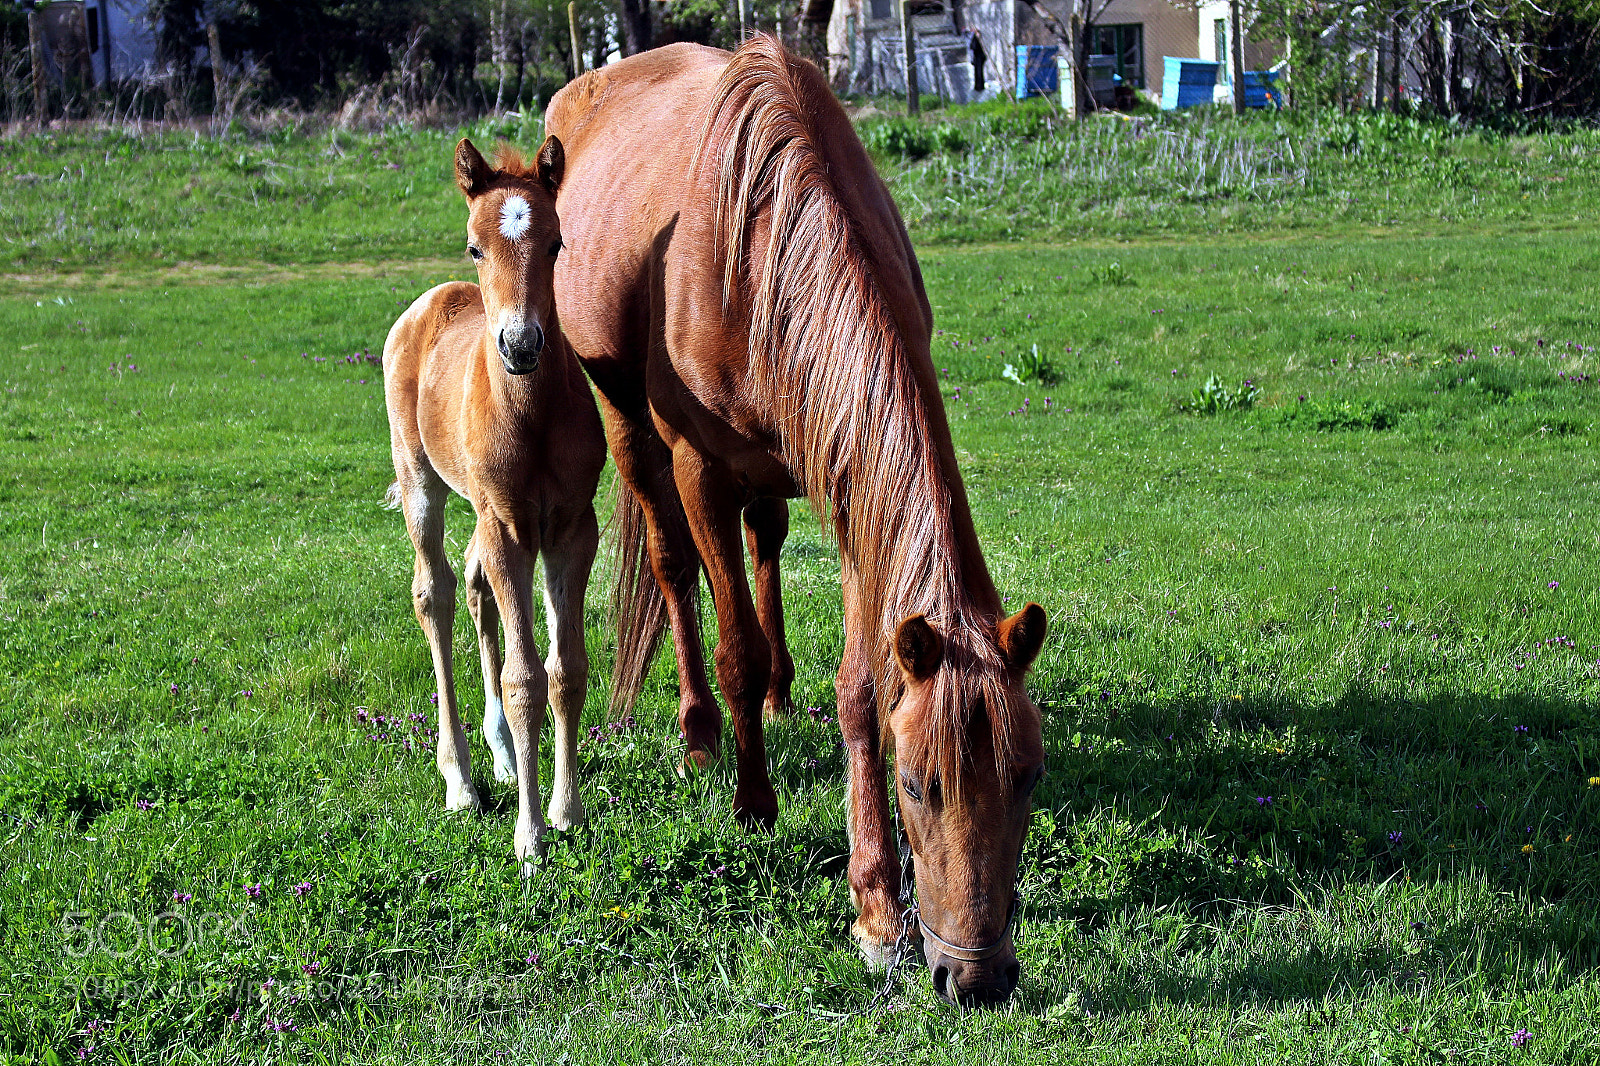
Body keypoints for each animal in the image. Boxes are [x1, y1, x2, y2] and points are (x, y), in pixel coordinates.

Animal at [382, 135, 606, 863]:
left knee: (477, 588)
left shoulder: (570, 530)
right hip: (422, 479)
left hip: (486, 515)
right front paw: (530, 837)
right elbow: (524, 678)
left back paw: (503, 755)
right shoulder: (509, 528)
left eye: (556, 243)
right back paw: (460, 780)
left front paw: (565, 810)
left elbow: (566, 671)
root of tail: (431, 302)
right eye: (475, 246)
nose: (521, 344)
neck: (532, 415)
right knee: (436, 593)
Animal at [545, 39, 1048, 1007]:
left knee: (766, 539)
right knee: (675, 566)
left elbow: (861, 687)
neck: (761, 244)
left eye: (1029, 776)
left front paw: (877, 908)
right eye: (919, 785)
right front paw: (754, 804)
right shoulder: (700, 467)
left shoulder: (852, 483)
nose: (977, 979)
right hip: (627, 422)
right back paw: (702, 734)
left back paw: (780, 693)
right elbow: (732, 641)